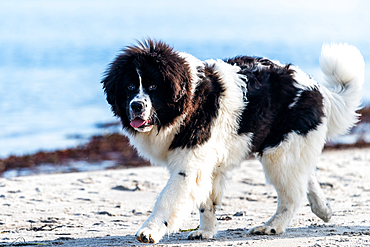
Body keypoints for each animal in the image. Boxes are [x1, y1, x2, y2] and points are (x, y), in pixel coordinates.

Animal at [101, 39, 364, 244]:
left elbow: (168, 199)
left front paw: (150, 230)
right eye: (129, 86)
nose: (136, 105)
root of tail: (315, 86)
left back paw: (272, 226)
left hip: (279, 153)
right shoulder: (204, 162)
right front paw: (205, 232)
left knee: (292, 195)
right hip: (289, 149)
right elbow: (206, 200)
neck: (188, 100)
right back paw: (324, 209)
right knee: (305, 177)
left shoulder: (190, 164)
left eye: (153, 86)